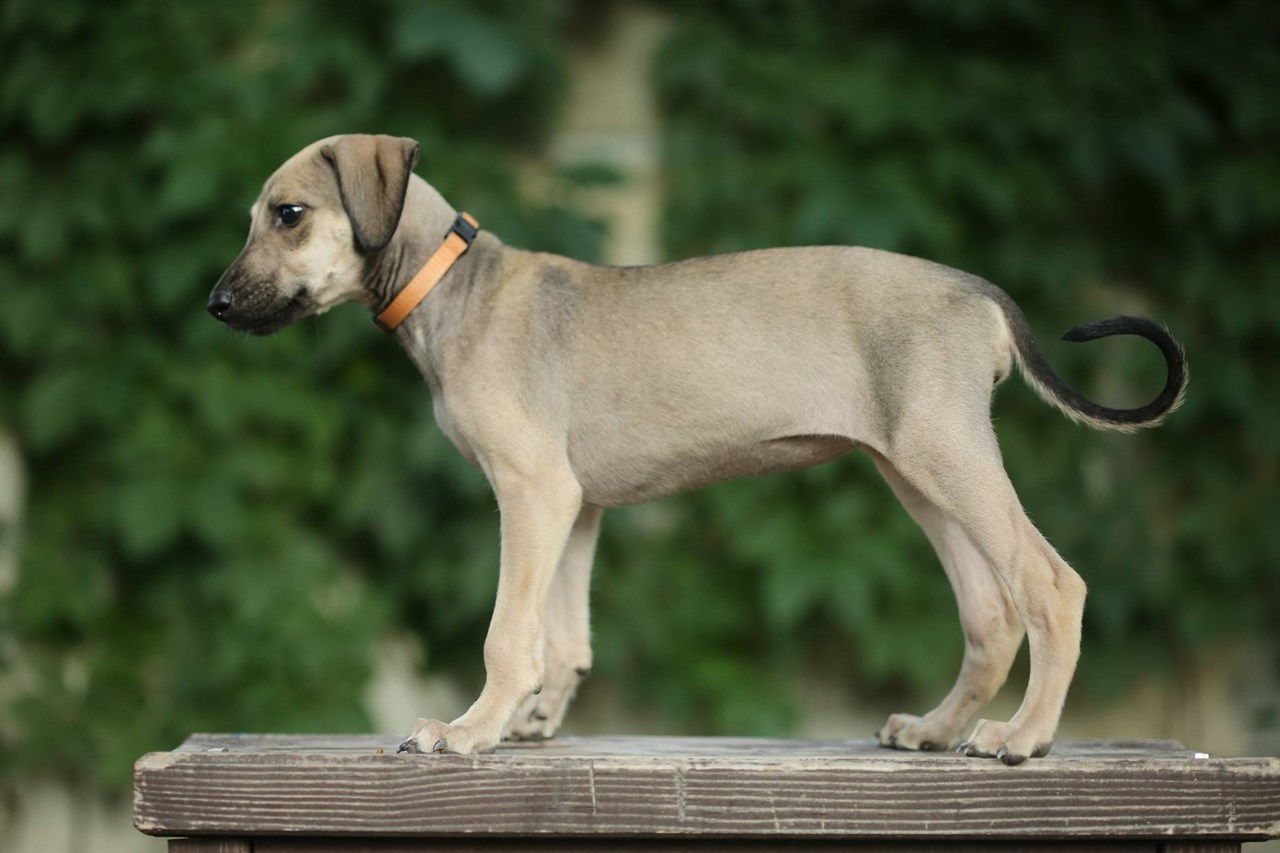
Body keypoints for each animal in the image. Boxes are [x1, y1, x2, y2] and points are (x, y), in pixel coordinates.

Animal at [207, 134, 1187, 763]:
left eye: (288, 214)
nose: (215, 305)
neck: (454, 283)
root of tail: (974, 287)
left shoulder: (532, 491)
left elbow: (508, 634)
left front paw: (470, 728)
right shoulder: (573, 505)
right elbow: (564, 635)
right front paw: (532, 720)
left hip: (950, 460)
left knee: (1052, 586)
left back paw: (1025, 737)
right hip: (917, 470)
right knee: (990, 614)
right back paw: (937, 730)